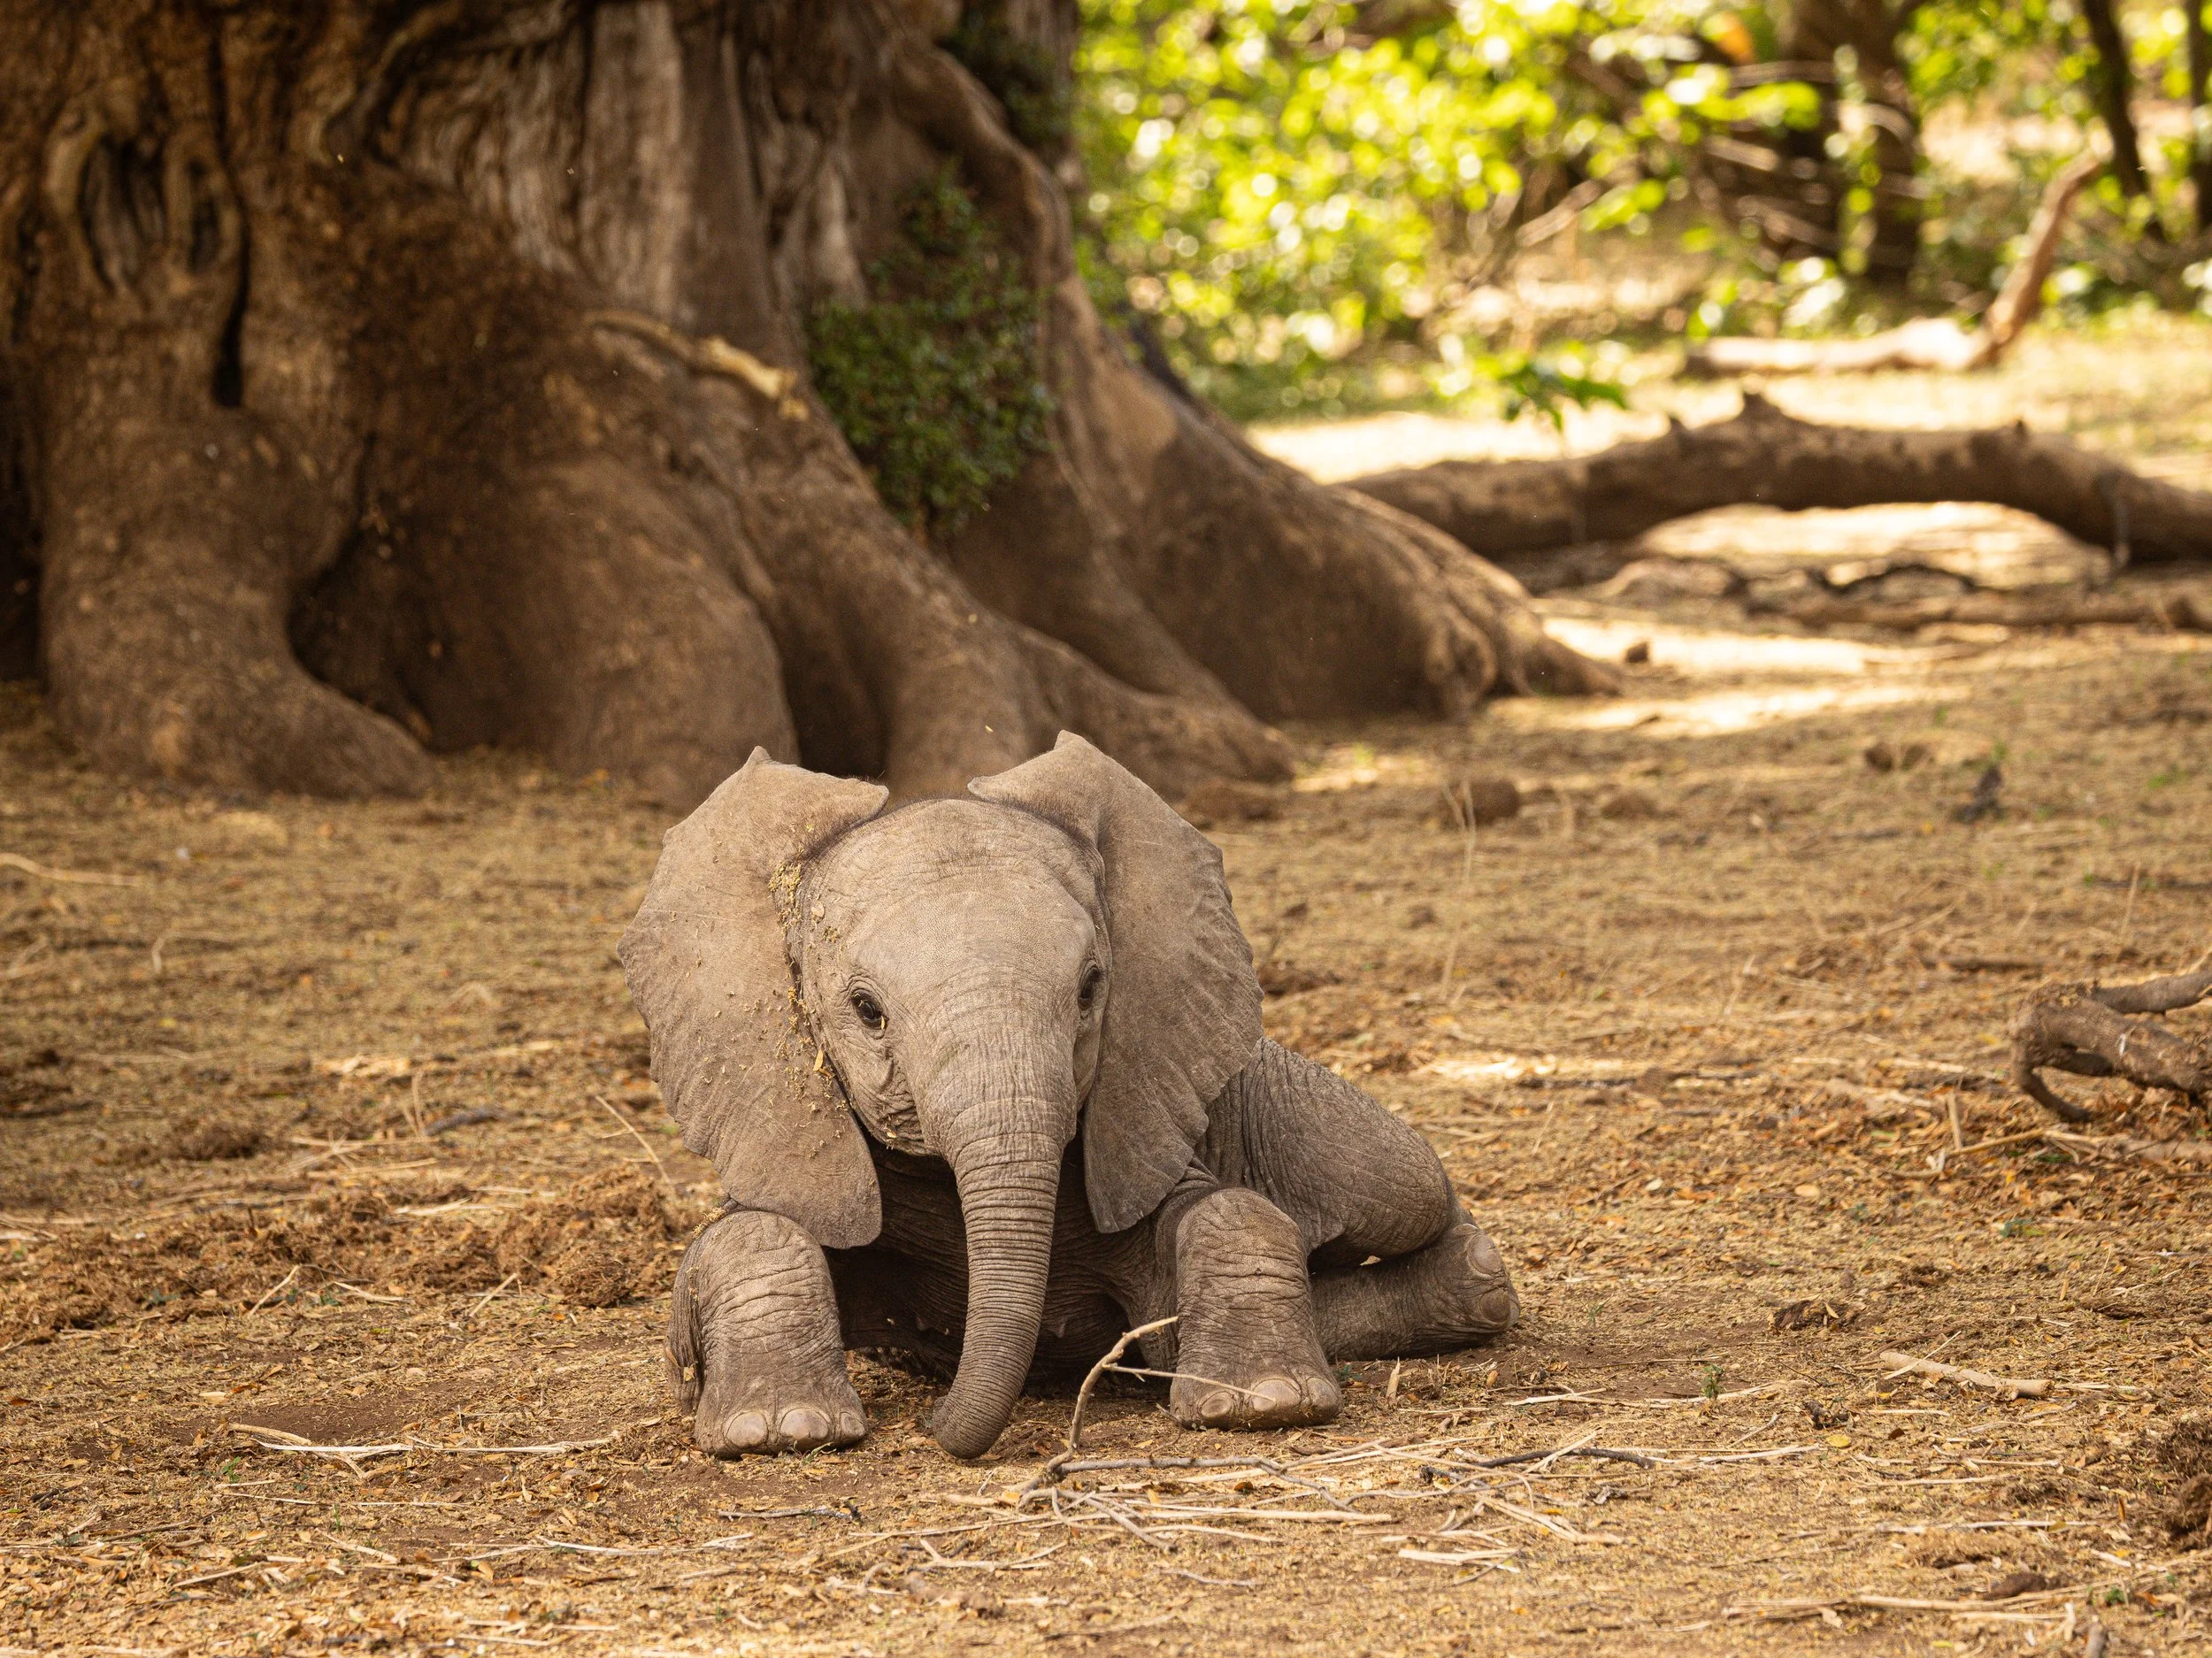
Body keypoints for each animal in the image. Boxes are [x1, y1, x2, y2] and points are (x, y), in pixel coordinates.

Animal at [620, 732, 1518, 1460]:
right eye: (866, 1010)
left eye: (1090, 989)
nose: (933, 1428)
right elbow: (749, 1234)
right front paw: (777, 1431)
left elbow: (1222, 1211)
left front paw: (1265, 1404)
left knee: (1405, 1186)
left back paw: (1475, 1276)